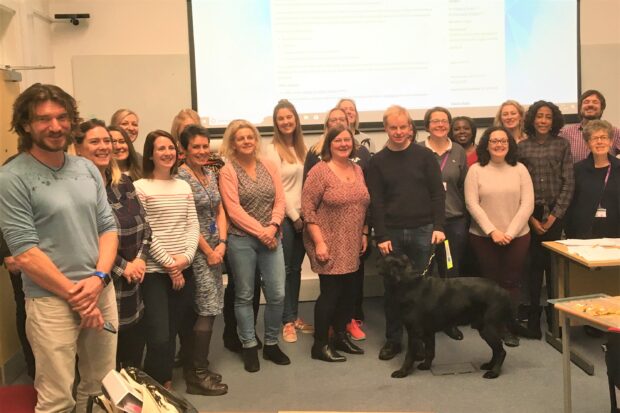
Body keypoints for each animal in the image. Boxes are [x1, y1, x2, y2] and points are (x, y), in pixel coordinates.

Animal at [378, 254, 532, 380]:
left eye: (385, 260)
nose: (378, 259)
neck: (408, 283)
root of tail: (503, 290)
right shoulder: (428, 332)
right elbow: (430, 351)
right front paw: (426, 366)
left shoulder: (414, 331)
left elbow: (409, 355)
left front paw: (402, 372)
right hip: (484, 328)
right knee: (496, 350)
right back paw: (489, 365)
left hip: (489, 328)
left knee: (501, 352)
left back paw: (493, 373)